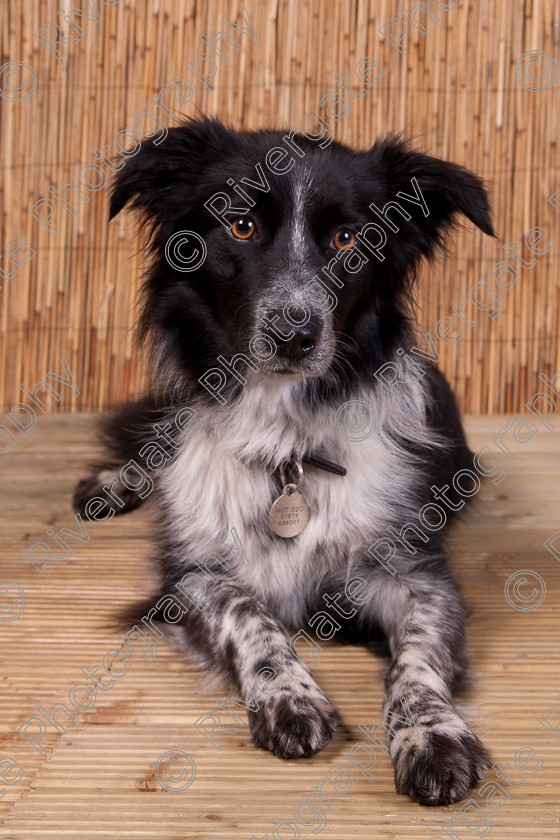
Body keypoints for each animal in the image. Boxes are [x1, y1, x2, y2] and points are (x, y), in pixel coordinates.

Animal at [73, 118, 494, 808]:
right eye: (241, 226)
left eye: (349, 239)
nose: (294, 335)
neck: (286, 443)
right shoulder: (190, 576)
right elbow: (250, 613)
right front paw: (287, 695)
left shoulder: (417, 575)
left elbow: (419, 659)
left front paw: (432, 733)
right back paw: (115, 483)